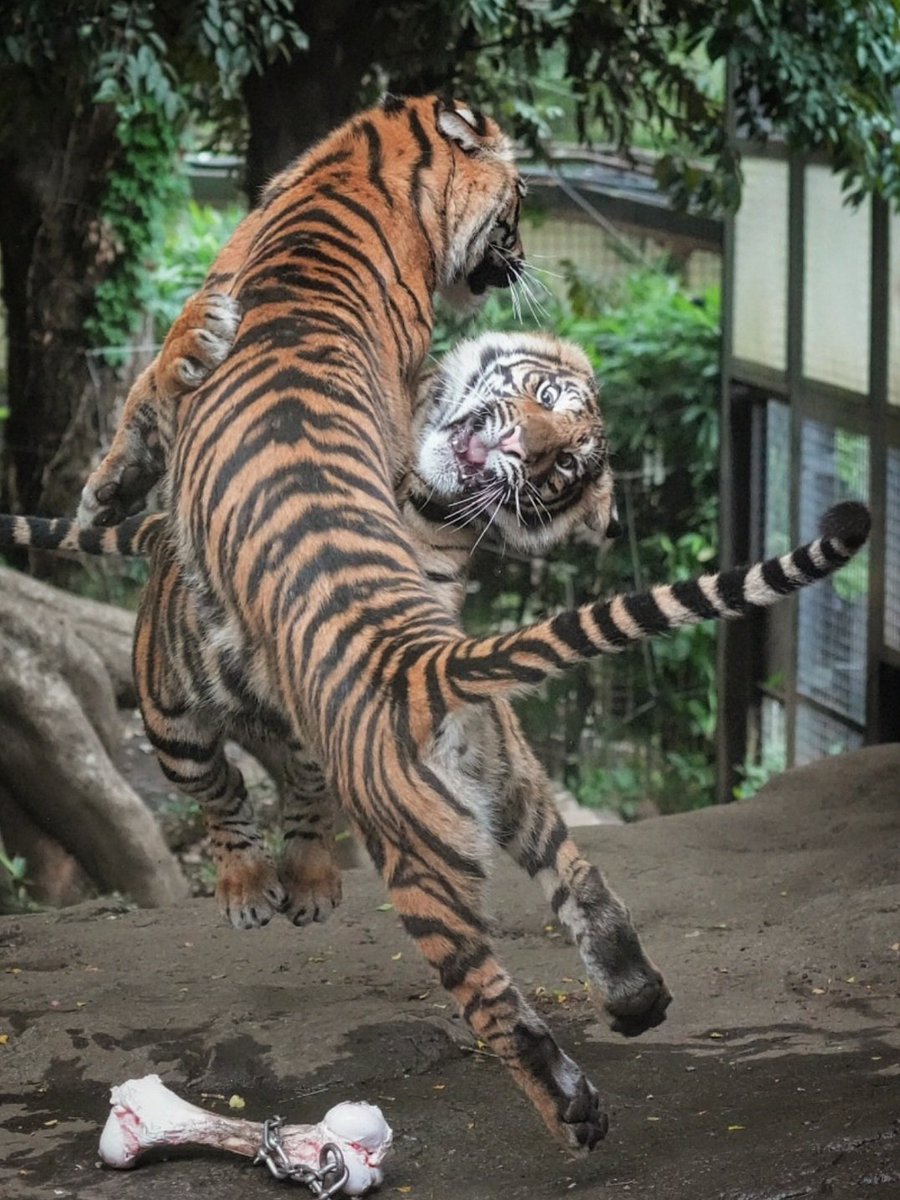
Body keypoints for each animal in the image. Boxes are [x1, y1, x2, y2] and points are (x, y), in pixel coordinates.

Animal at [15, 94, 870, 1150]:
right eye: (519, 206)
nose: (519, 257)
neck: (374, 167)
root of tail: (419, 659)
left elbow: (150, 394)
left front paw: (106, 490)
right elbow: (156, 397)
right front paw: (104, 494)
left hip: (326, 810)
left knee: (275, 825)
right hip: (505, 781)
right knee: (573, 880)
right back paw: (632, 997)